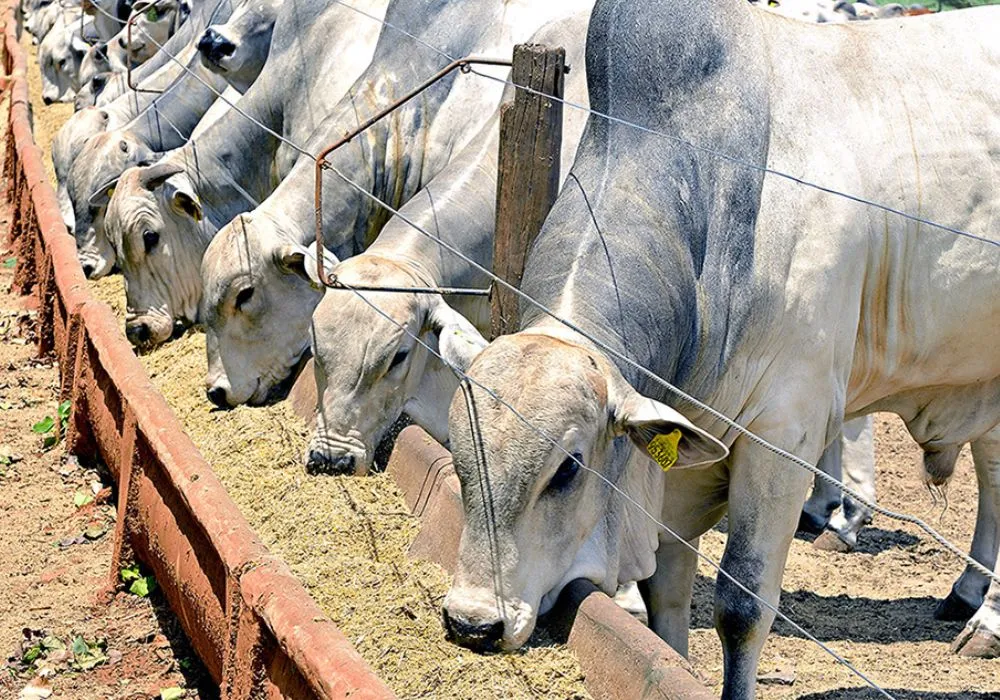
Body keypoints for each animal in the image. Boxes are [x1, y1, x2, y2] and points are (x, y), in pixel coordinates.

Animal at [440, 0, 1000, 696]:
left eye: (567, 468)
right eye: (458, 450)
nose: (471, 623)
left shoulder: (784, 435)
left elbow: (741, 605)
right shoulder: (682, 447)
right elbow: (666, 590)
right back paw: (972, 597)